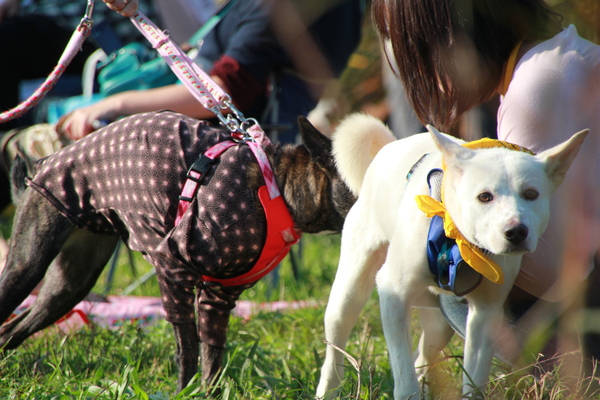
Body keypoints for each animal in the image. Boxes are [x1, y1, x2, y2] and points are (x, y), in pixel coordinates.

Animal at [0, 111, 356, 392]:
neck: (276, 188)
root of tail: (43, 164)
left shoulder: (218, 298)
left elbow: (213, 357)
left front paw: (209, 393)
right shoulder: (173, 271)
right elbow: (189, 352)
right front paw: (185, 391)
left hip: (68, 287)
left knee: (11, 330)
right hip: (27, 265)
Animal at [318, 114, 584, 398]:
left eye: (531, 194)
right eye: (484, 196)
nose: (516, 232)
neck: (459, 241)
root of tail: (390, 145)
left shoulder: (486, 312)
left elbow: (474, 376)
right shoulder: (393, 294)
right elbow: (403, 371)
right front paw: (408, 390)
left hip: (440, 323)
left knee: (424, 357)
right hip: (348, 294)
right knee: (335, 348)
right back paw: (327, 388)